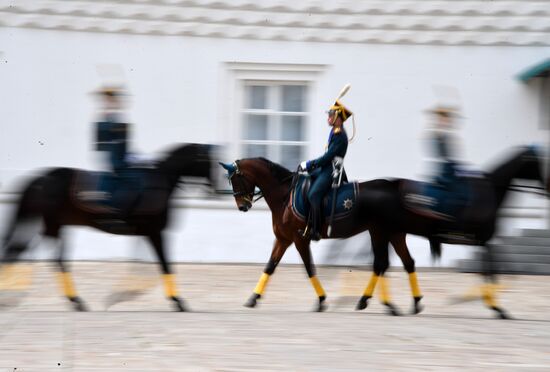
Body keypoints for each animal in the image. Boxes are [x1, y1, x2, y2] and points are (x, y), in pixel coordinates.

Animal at [1, 142, 215, 310]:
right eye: (206, 161)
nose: (214, 187)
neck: (158, 183)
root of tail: (42, 178)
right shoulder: (156, 233)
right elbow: (165, 264)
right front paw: (177, 301)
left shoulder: (146, 233)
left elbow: (142, 265)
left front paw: (122, 295)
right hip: (53, 225)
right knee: (41, 256)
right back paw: (74, 300)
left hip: (54, 225)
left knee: (26, 251)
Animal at [222, 158, 424, 316]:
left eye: (236, 179)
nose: (242, 206)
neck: (285, 196)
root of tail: (392, 188)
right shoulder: (283, 239)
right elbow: (270, 267)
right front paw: (253, 298)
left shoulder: (299, 240)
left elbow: (309, 268)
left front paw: (321, 300)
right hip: (391, 234)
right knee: (404, 263)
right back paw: (408, 303)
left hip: (381, 233)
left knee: (382, 264)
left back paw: (380, 303)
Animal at [356, 147, 548, 318]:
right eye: (538, 161)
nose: (547, 187)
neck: (490, 191)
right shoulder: (485, 241)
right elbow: (490, 272)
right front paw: (496, 307)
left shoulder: (484, 242)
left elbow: (490, 270)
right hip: (385, 232)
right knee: (383, 264)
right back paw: (374, 301)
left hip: (392, 233)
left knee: (395, 263)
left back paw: (403, 303)